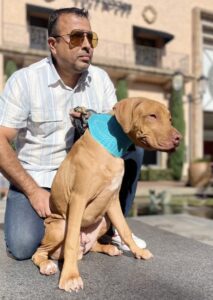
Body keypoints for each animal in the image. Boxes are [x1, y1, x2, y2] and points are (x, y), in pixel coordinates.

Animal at [32, 98, 181, 292]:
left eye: (169, 119)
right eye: (152, 116)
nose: (179, 139)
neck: (111, 147)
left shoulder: (112, 200)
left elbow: (125, 230)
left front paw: (138, 252)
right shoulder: (78, 198)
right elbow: (71, 240)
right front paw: (70, 277)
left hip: (103, 220)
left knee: (92, 245)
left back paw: (109, 248)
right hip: (59, 226)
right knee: (40, 252)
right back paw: (47, 265)